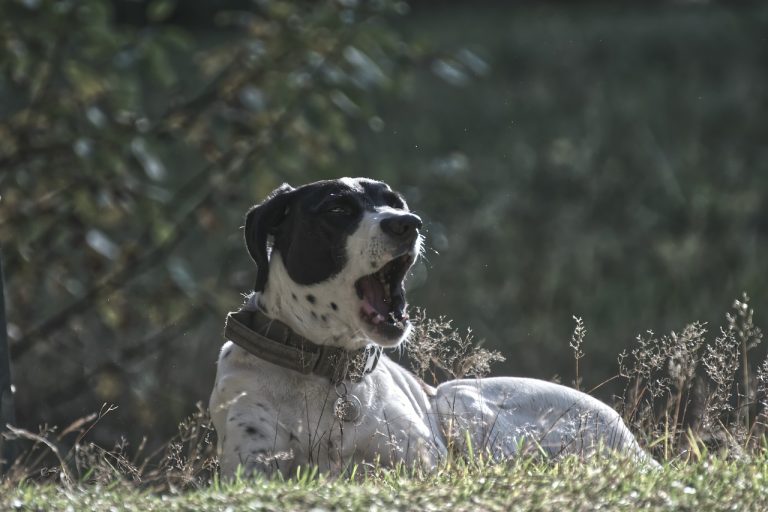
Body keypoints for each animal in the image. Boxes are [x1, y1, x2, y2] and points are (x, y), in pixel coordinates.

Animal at [208, 176, 648, 476]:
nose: (407, 223)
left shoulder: (421, 462)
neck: (326, 374)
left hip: (459, 400)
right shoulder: (254, 466)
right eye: (337, 210)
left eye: (395, 203)